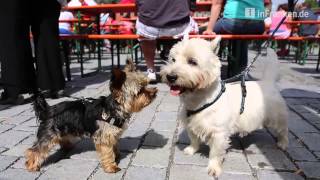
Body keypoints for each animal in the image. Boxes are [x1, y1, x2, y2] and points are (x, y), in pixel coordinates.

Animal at [25, 60, 158, 173]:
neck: (114, 109)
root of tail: (48, 110)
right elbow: (107, 152)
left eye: (146, 84)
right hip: (48, 135)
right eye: (140, 91)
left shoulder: (112, 135)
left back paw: (67, 146)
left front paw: (117, 156)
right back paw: (32, 166)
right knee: (35, 150)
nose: (155, 92)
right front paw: (111, 166)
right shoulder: (104, 138)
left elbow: (114, 146)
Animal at [161, 37, 288, 177]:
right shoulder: (190, 124)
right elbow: (194, 139)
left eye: (192, 62)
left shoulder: (219, 133)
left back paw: (282, 143)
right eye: (173, 59)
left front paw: (213, 168)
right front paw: (191, 150)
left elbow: (215, 153)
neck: (199, 101)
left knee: (283, 130)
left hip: (277, 116)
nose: (170, 76)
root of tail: (268, 81)